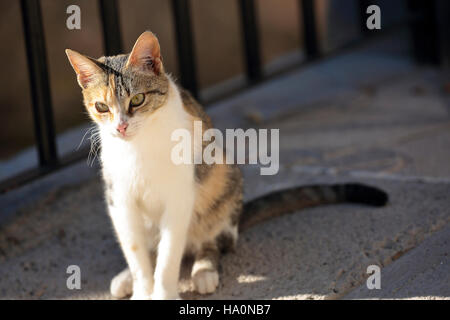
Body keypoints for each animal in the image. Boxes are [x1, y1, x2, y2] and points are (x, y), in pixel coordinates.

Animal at [65, 31, 388, 298]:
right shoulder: (120, 199)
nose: (120, 127)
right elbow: (136, 252)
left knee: (212, 240)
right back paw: (126, 277)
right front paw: (142, 287)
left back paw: (204, 270)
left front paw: (164, 292)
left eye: (138, 100)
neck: (139, 147)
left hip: (222, 181)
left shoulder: (180, 196)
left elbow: (169, 255)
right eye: (101, 107)